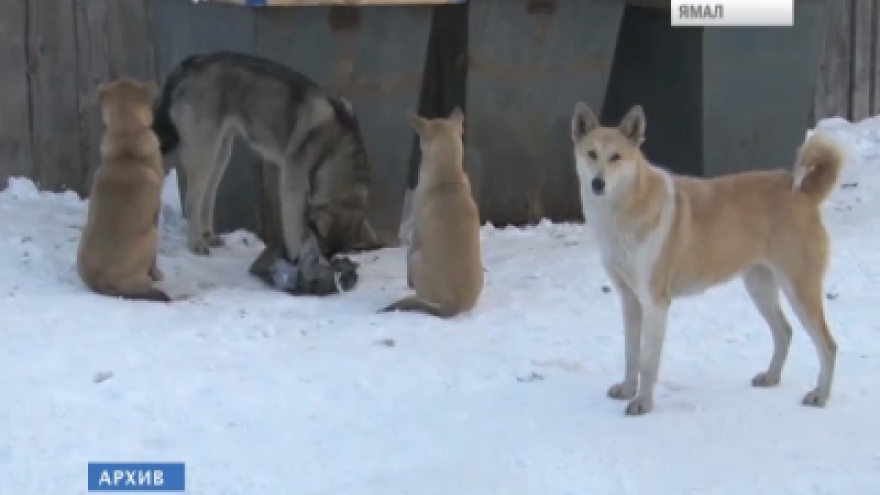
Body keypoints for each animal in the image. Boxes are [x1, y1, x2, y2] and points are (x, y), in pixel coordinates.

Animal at [78, 78, 171, 302]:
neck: (126, 137)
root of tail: (101, 282)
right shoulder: (155, 211)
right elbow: (155, 262)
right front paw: (157, 274)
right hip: (151, 235)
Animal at [572, 102, 844, 416]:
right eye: (592, 154)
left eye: (616, 157)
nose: (598, 183)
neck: (622, 212)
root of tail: (803, 191)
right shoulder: (629, 300)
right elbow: (631, 353)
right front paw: (628, 389)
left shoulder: (655, 302)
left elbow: (648, 361)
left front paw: (643, 403)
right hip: (760, 286)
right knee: (784, 332)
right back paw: (771, 377)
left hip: (800, 289)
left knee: (828, 345)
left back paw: (820, 395)